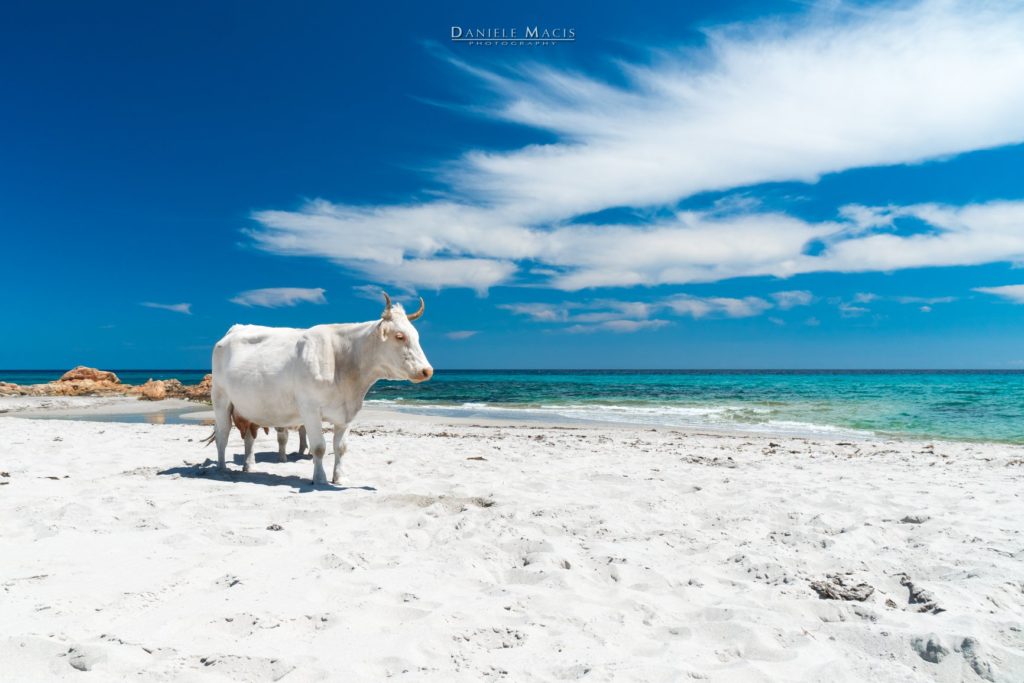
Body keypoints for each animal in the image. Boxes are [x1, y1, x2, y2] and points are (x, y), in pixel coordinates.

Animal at [211, 294, 432, 485]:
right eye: (399, 336)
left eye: (417, 336)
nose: (427, 370)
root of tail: (235, 329)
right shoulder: (309, 409)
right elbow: (318, 448)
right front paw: (320, 479)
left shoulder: (347, 413)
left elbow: (341, 448)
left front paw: (340, 477)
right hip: (221, 399)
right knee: (222, 435)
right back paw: (222, 469)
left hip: (249, 407)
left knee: (249, 435)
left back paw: (249, 466)